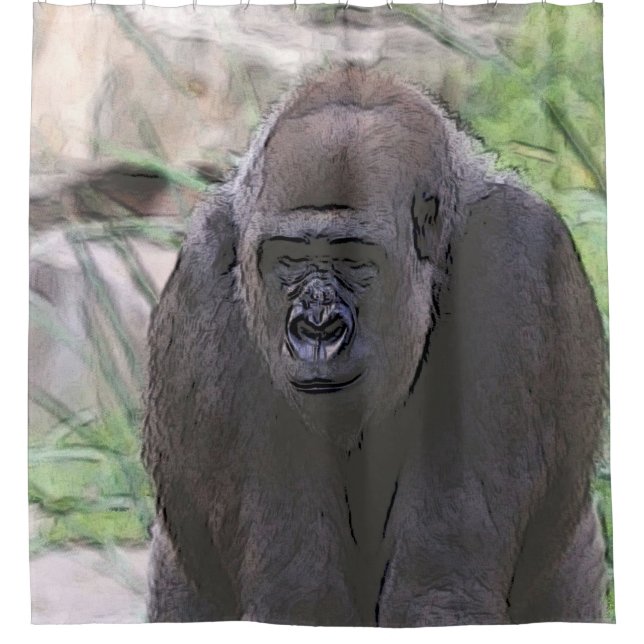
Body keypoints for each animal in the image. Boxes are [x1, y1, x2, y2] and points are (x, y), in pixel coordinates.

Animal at [142, 67, 608, 626]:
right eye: (289, 257)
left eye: (355, 260)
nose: (316, 327)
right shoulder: (205, 270)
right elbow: (298, 599)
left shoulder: (511, 253)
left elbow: (439, 589)